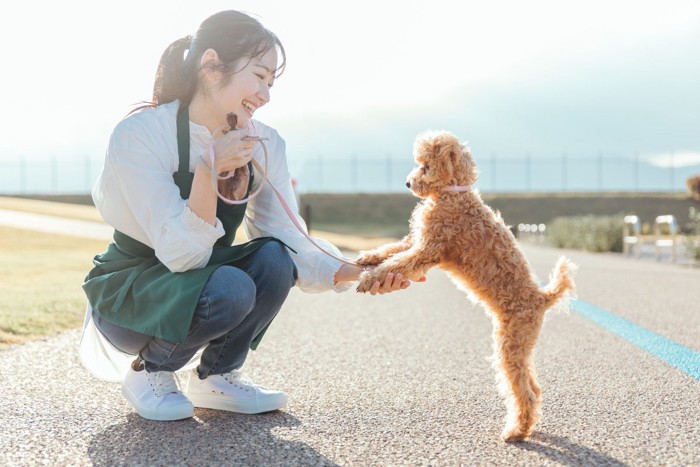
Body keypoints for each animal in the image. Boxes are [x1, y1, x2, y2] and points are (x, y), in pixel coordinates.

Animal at [356, 132, 576, 442]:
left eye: (424, 166)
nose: (407, 183)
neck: (452, 193)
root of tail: (543, 298)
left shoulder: (428, 248)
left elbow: (398, 263)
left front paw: (370, 278)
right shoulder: (417, 240)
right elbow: (392, 250)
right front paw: (367, 258)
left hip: (511, 342)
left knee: (523, 392)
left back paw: (515, 432)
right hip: (521, 344)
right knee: (533, 387)